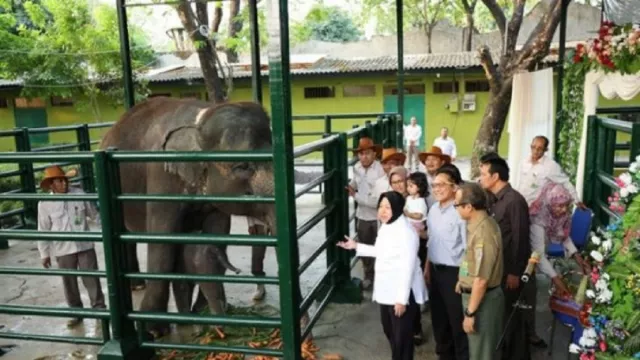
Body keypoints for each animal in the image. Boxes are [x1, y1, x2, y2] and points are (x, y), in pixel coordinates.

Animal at [101, 97, 276, 336]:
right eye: (242, 166)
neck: (200, 120)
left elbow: (218, 232)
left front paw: (202, 310)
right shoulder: (161, 176)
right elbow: (161, 243)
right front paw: (154, 331)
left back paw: (137, 284)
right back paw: (137, 286)